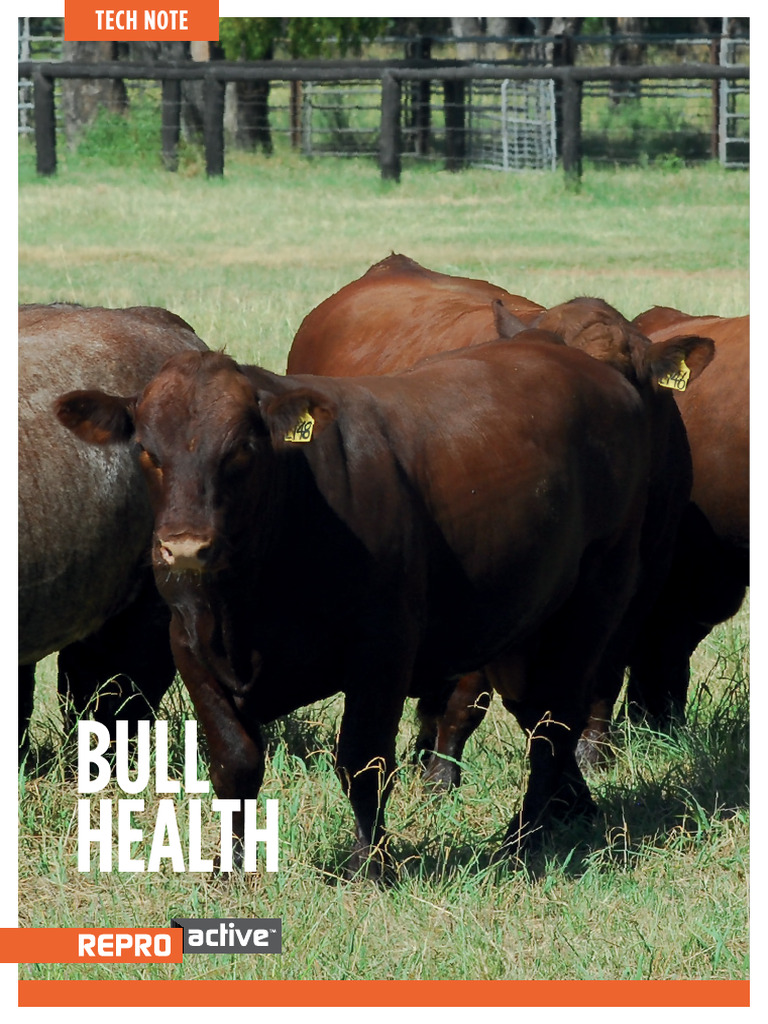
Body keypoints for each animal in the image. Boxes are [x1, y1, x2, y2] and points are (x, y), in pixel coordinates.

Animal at [55, 328, 713, 875]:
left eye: (240, 449)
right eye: (147, 450)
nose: (185, 545)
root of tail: (596, 370)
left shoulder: (383, 648)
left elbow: (363, 760)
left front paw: (369, 865)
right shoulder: (192, 647)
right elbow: (234, 763)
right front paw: (231, 868)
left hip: (594, 599)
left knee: (557, 719)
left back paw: (523, 838)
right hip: (520, 620)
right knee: (538, 712)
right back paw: (572, 809)